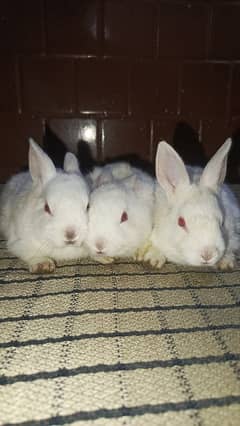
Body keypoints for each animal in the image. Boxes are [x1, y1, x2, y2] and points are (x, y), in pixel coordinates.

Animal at [0, 140, 89, 272]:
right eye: (47, 208)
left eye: (88, 206)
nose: (71, 234)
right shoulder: (18, 244)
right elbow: (31, 254)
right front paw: (43, 265)